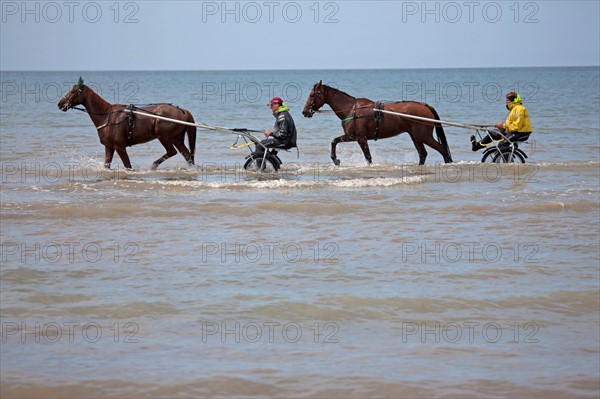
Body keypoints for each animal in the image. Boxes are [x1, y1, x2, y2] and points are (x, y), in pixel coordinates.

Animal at [57, 78, 196, 170]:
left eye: (74, 91)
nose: (60, 103)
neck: (107, 117)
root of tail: (181, 110)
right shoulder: (109, 147)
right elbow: (107, 164)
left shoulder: (120, 147)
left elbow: (128, 165)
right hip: (176, 138)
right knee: (187, 155)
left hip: (164, 137)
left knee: (172, 152)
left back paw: (153, 165)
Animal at [302, 81, 452, 166]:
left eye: (312, 95)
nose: (304, 112)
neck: (352, 109)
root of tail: (425, 106)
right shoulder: (351, 137)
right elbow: (334, 141)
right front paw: (336, 160)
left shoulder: (359, 138)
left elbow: (367, 157)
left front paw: (336, 160)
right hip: (415, 136)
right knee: (423, 154)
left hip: (423, 136)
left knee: (442, 150)